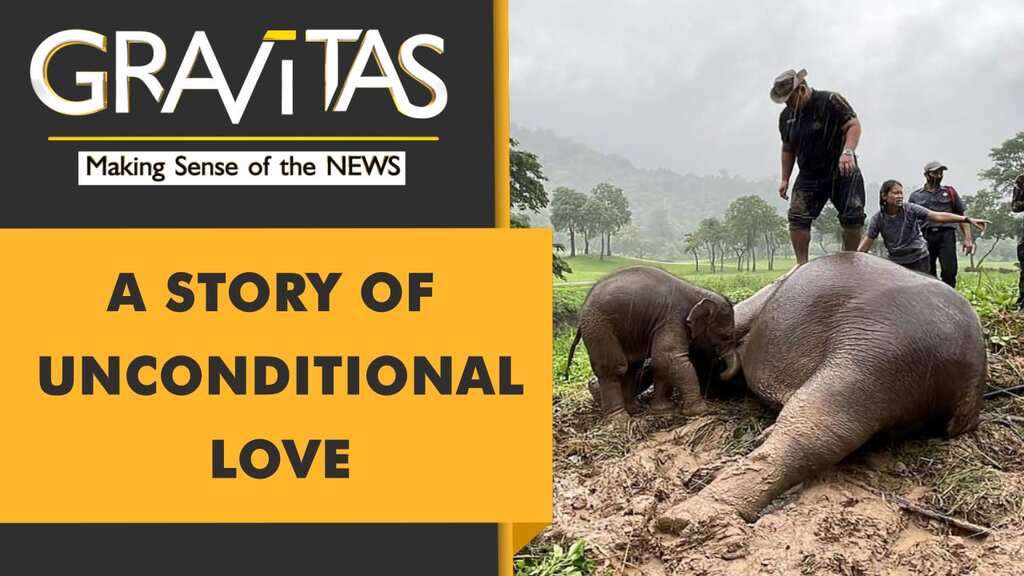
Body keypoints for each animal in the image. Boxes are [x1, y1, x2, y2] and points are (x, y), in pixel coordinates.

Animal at [565, 266, 741, 421]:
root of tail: (581, 312)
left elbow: (661, 361)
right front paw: (701, 411)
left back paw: (633, 409)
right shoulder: (673, 318)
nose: (721, 373)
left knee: (633, 366)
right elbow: (668, 357)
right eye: (725, 335)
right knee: (615, 367)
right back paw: (620, 420)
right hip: (599, 326)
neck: (697, 292)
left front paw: (663, 410)